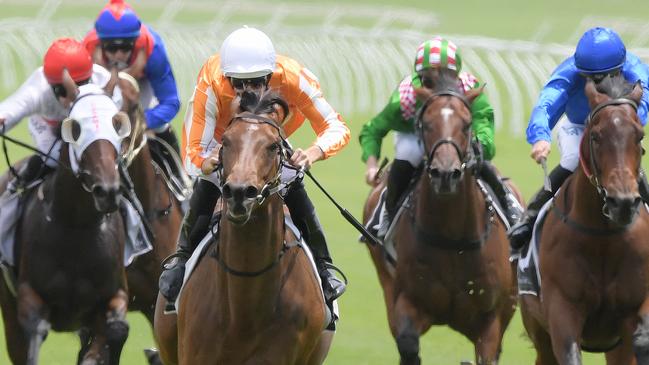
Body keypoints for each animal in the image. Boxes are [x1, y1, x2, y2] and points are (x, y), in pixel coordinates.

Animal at [0, 75, 132, 362]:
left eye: (117, 124)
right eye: (76, 129)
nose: (107, 191)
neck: (76, 226)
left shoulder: (114, 296)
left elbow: (117, 329)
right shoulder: (27, 296)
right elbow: (36, 331)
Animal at [520, 75, 649, 362]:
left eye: (639, 136)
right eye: (596, 135)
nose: (623, 203)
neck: (603, 236)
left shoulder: (635, 305)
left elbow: (642, 338)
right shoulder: (561, 310)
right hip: (538, 329)